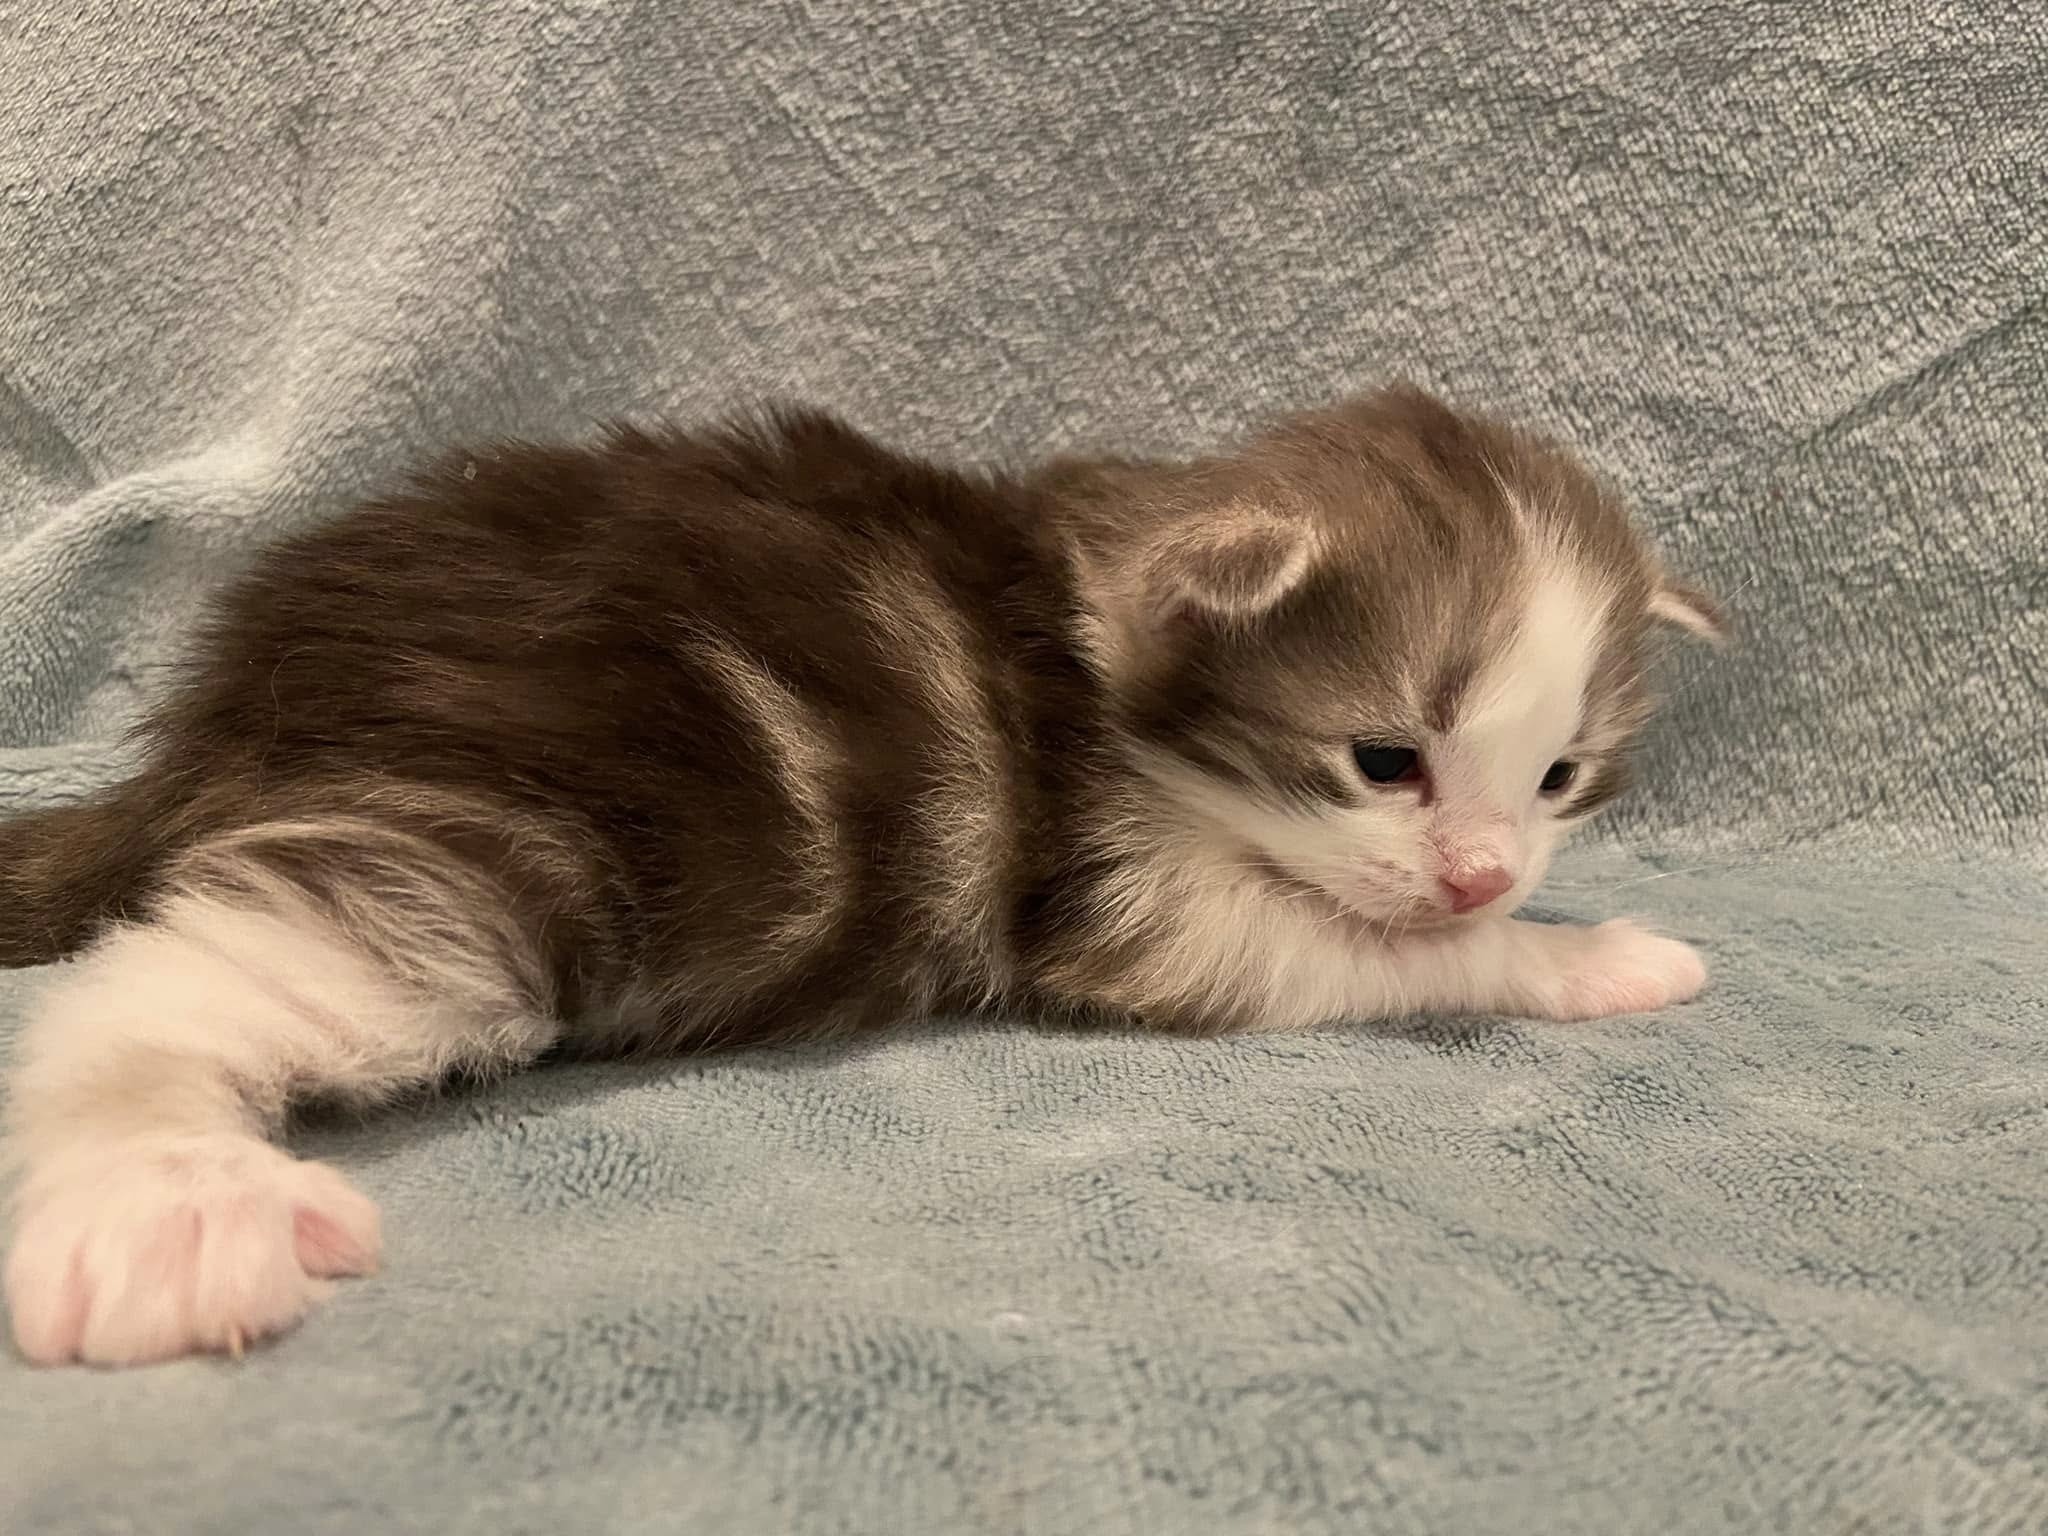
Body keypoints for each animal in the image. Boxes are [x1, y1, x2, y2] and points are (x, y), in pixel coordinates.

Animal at [0, 384, 1721, 1366]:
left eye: (1561, 780)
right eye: (1384, 760)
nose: (1484, 874)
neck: (1112, 661)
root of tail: (238, 695)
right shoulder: (1136, 905)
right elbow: (1375, 951)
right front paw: (1596, 956)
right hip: (518, 836)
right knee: (173, 981)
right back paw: (162, 1203)